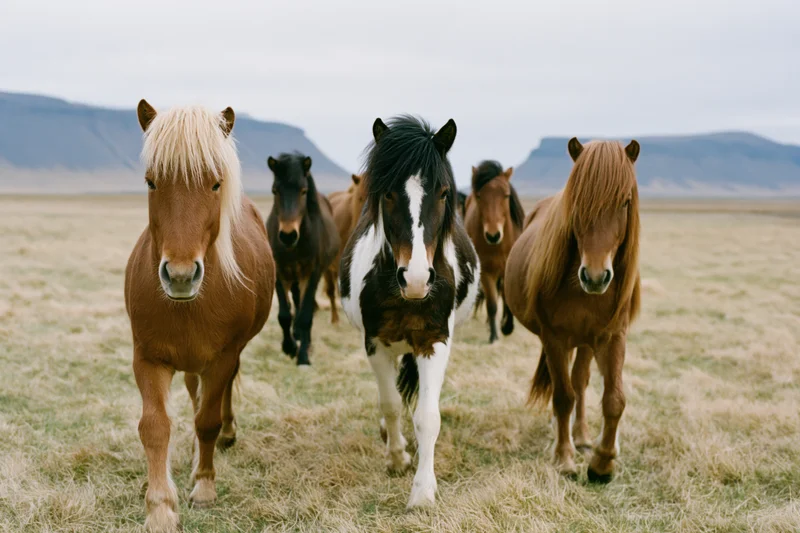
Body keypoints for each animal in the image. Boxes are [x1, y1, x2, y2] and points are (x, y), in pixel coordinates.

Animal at [125, 101, 275, 532]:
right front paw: (159, 506)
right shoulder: (147, 357)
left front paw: (205, 486)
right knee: (194, 394)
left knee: (215, 402)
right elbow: (155, 426)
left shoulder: (223, 357)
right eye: (151, 182)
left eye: (214, 184)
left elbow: (208, 419)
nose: (179, 275)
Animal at [266, 153, 340, 366]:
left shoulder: (312, 274)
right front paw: (289, 347)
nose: (288, 235)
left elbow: (306, 315)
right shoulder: (280, 273)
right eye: (275, 190)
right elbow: (284, 315)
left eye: (303, 191)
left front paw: (304, 356)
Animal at [340, 115, 480, 508]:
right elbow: (389, 404)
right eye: (387, 193)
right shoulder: (375, 344)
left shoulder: (434, 341)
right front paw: (397, 457)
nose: (415, 279)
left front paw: (423, 490)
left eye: (444, 193)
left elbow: (428, 417)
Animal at [463, 161, 525, 343]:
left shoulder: (507, 270)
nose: (493, 235)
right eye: (479, 196)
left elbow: (507, 299)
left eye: (506, 195)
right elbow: (491, 305)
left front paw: (507, 327)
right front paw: (494, 336)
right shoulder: (486, 273)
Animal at [505, 137, 641, 483]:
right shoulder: (554, 338)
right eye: (578, 201)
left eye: (625, 201)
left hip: (587, 343)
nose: (595, 276)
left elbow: (613, 400)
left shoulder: (612, 337)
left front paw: (603, 462)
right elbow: (563, 396)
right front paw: (564, 457)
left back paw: (581, 436)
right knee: (565, 386)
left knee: (580, 381)